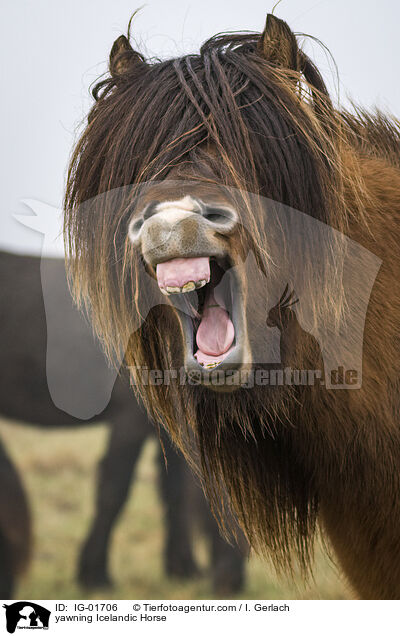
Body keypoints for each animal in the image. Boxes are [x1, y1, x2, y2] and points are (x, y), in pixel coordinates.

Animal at [0, 251, 247, 600]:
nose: (232, 582)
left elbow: (173, 492)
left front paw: (182, 568)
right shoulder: (131, 421)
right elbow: (114, 493)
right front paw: (94, 575)